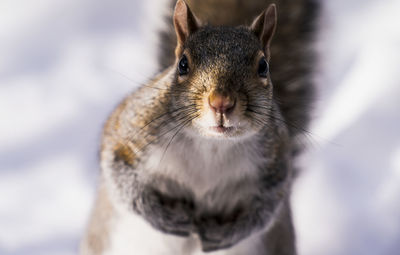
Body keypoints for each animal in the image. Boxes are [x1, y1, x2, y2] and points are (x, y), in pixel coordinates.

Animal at [80, 0, 318, 255]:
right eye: (183, 64)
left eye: (263, 66)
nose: (221, 102)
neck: (210, 143)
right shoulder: (128, 132)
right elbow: (120, 175)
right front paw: (165, 217)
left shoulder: (277, 160)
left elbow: (266, 207)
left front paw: (225, 233)